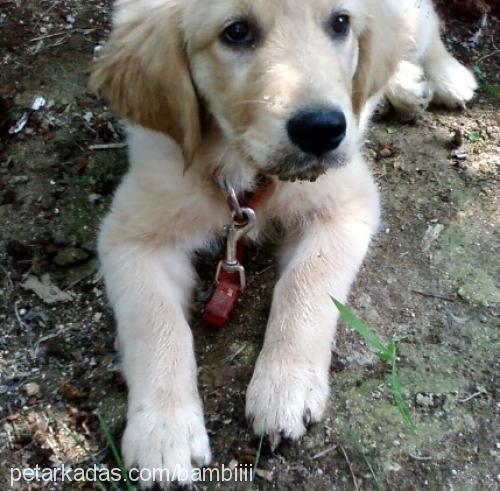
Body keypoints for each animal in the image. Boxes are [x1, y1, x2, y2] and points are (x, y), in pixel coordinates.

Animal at [91, 0, 476, 484]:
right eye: (236, 32)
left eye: (340, 23)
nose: (323, 130)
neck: (240, 169)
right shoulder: (132, 233)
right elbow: (153, 321)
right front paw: (162, 432)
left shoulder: (345, 204)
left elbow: (305, 285)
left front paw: (284, 387)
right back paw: (405, 83)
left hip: (409, 22)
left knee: (426, 26)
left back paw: (445, 77)